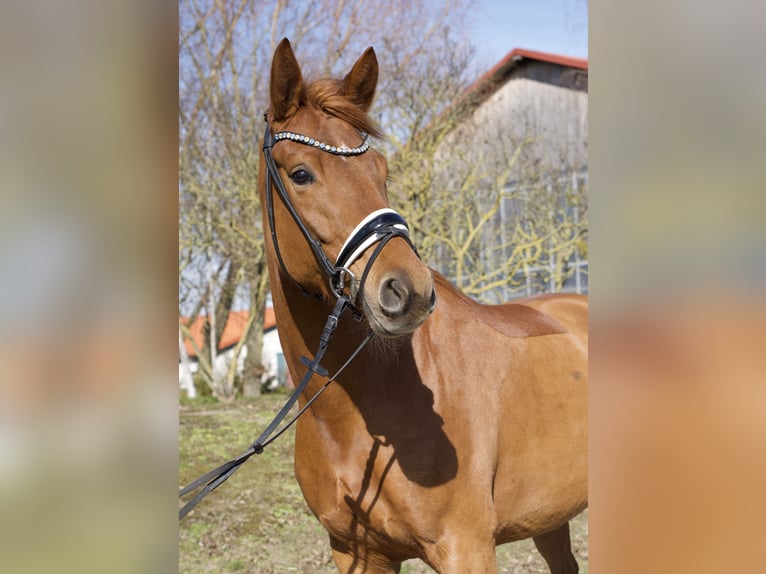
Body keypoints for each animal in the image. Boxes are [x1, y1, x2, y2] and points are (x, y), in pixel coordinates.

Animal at [260, 38, 592, 572]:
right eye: (301, 174)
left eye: (381, 170)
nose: (408, 292)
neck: (350, 417)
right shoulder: (355, 553)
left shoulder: (465, 548)